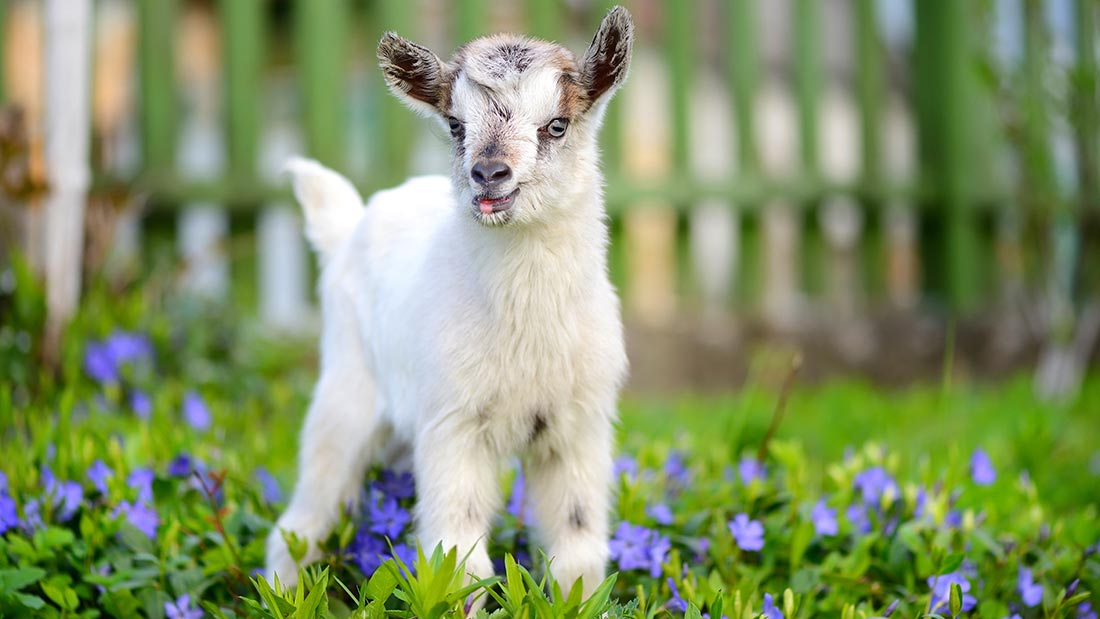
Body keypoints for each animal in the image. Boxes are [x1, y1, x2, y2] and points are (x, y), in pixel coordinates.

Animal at [266, 7, 634, 599]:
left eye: (557, 124)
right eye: (456, 125)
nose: (489, 174)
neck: (526, 328)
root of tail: (346, 228)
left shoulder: (578, 428)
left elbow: (578, 554)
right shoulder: (453, 426)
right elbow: (461, 560)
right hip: (344, 396)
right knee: (301, 522)